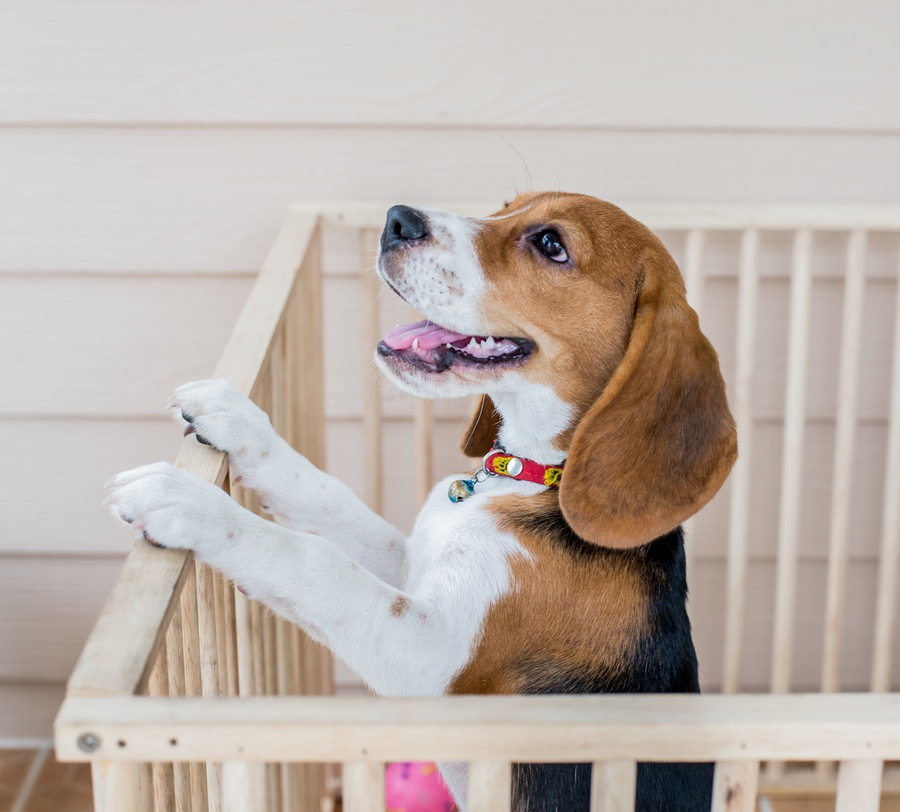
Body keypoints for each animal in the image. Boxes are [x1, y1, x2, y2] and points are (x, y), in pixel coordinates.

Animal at [107, 193, 740, 808]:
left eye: (550, 244)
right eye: (503, 207)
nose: (396, 220)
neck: (533, 477)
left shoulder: (433, 659)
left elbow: (319, 562)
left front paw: (188, 502)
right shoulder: (413, 562)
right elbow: (330, 500)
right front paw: (237, 419)